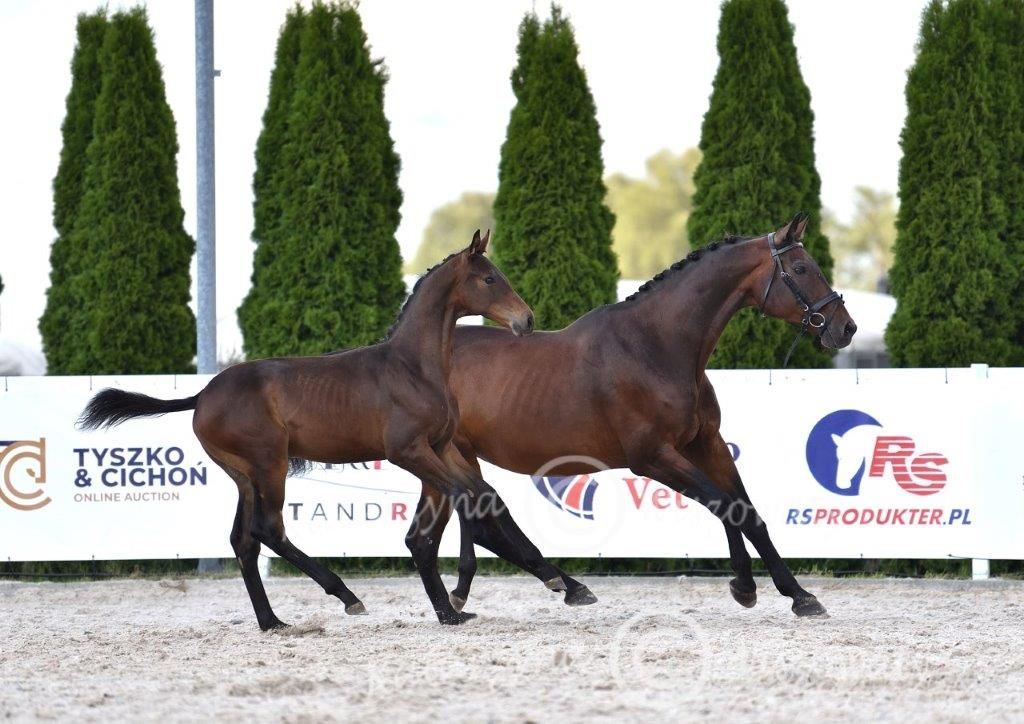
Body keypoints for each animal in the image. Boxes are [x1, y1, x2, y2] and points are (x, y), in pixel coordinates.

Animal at [78, 231, 584, 630]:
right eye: (489, 278)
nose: (527, 320)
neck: (412, 367)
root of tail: (201, 396)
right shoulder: (407, 451)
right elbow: (469, 499)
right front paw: (490, 595)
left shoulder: (441, 448)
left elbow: (481, 496)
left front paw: (552, 585)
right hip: (270, 464)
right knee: (268, 529)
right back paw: (345, 596)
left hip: (244, 474)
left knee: (243, 539)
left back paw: (272, 621)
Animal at [422, 214, 857, 617]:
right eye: (801, 269)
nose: (845, 327)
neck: (655, 347)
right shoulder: (653, 458)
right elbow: (731, 509)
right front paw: (774, 591)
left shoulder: (707, 445)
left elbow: (744, 511)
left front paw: (771, 589)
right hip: (454, 456)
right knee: (477, 523)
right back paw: (562, 586)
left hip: (454, 459)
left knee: (452, 529)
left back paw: (467, 594)